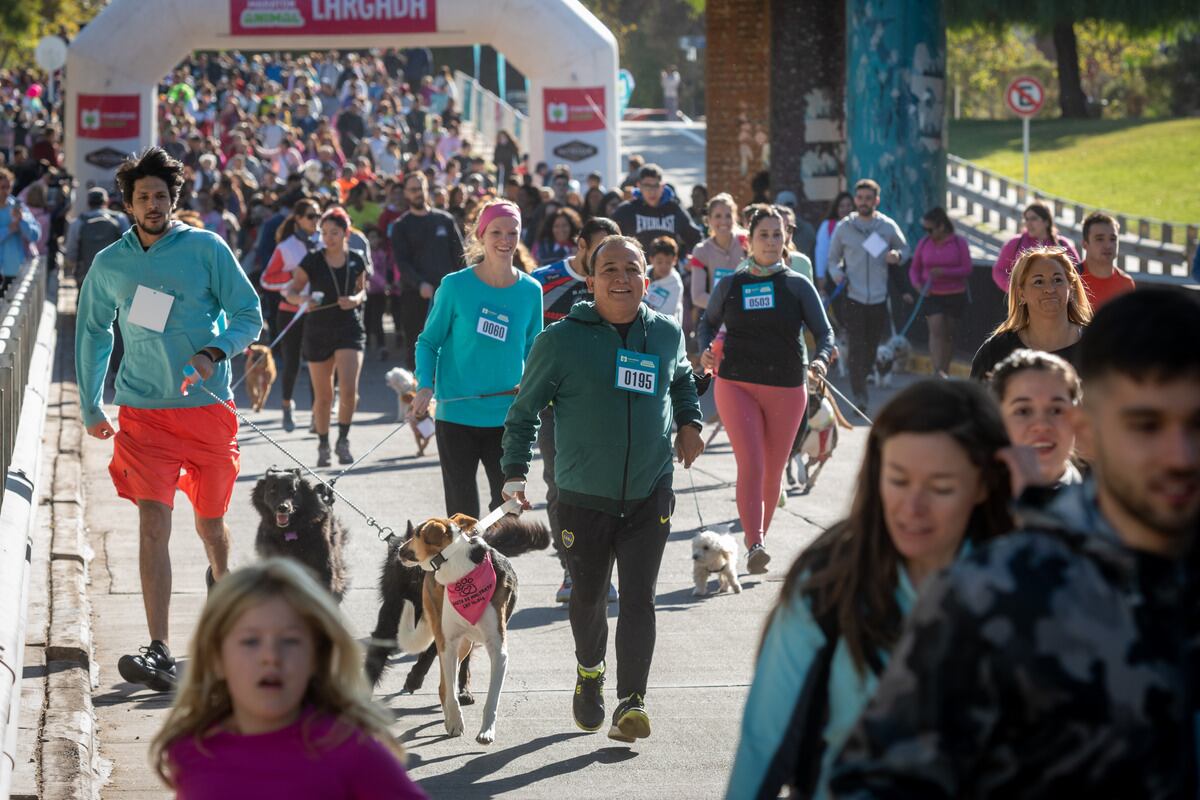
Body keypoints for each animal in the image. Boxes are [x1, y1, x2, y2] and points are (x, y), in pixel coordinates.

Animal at [364, 513, 552, 700]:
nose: (400, 550)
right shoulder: (387, 625)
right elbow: (373, 664)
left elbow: (429, 655)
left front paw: (414, 679)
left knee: (464, 659)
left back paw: (463, 690)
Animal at [398, 513, 549, 743]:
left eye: (416, 534)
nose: (398, 549)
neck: (458, 569)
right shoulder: (448, 644)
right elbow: (451, 692)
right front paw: (455, 721)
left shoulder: (498, 650)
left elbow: (492, 698)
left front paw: (486, 731)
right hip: (449, 638)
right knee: (444, 687)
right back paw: (449, 716)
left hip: (465, 644)